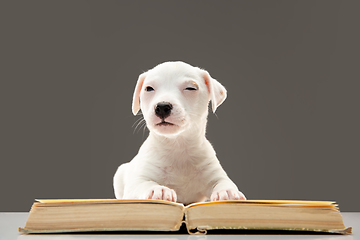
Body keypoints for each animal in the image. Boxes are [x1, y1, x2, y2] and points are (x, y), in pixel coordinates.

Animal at [114, 62, 246, 204]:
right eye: (149, 88)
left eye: (190, 88)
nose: (162, 106)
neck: (178, 146)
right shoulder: (136, 183)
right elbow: (144, 184)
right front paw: (158, 190)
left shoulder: (214, 173)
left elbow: (224, 182)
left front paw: (228, 192)